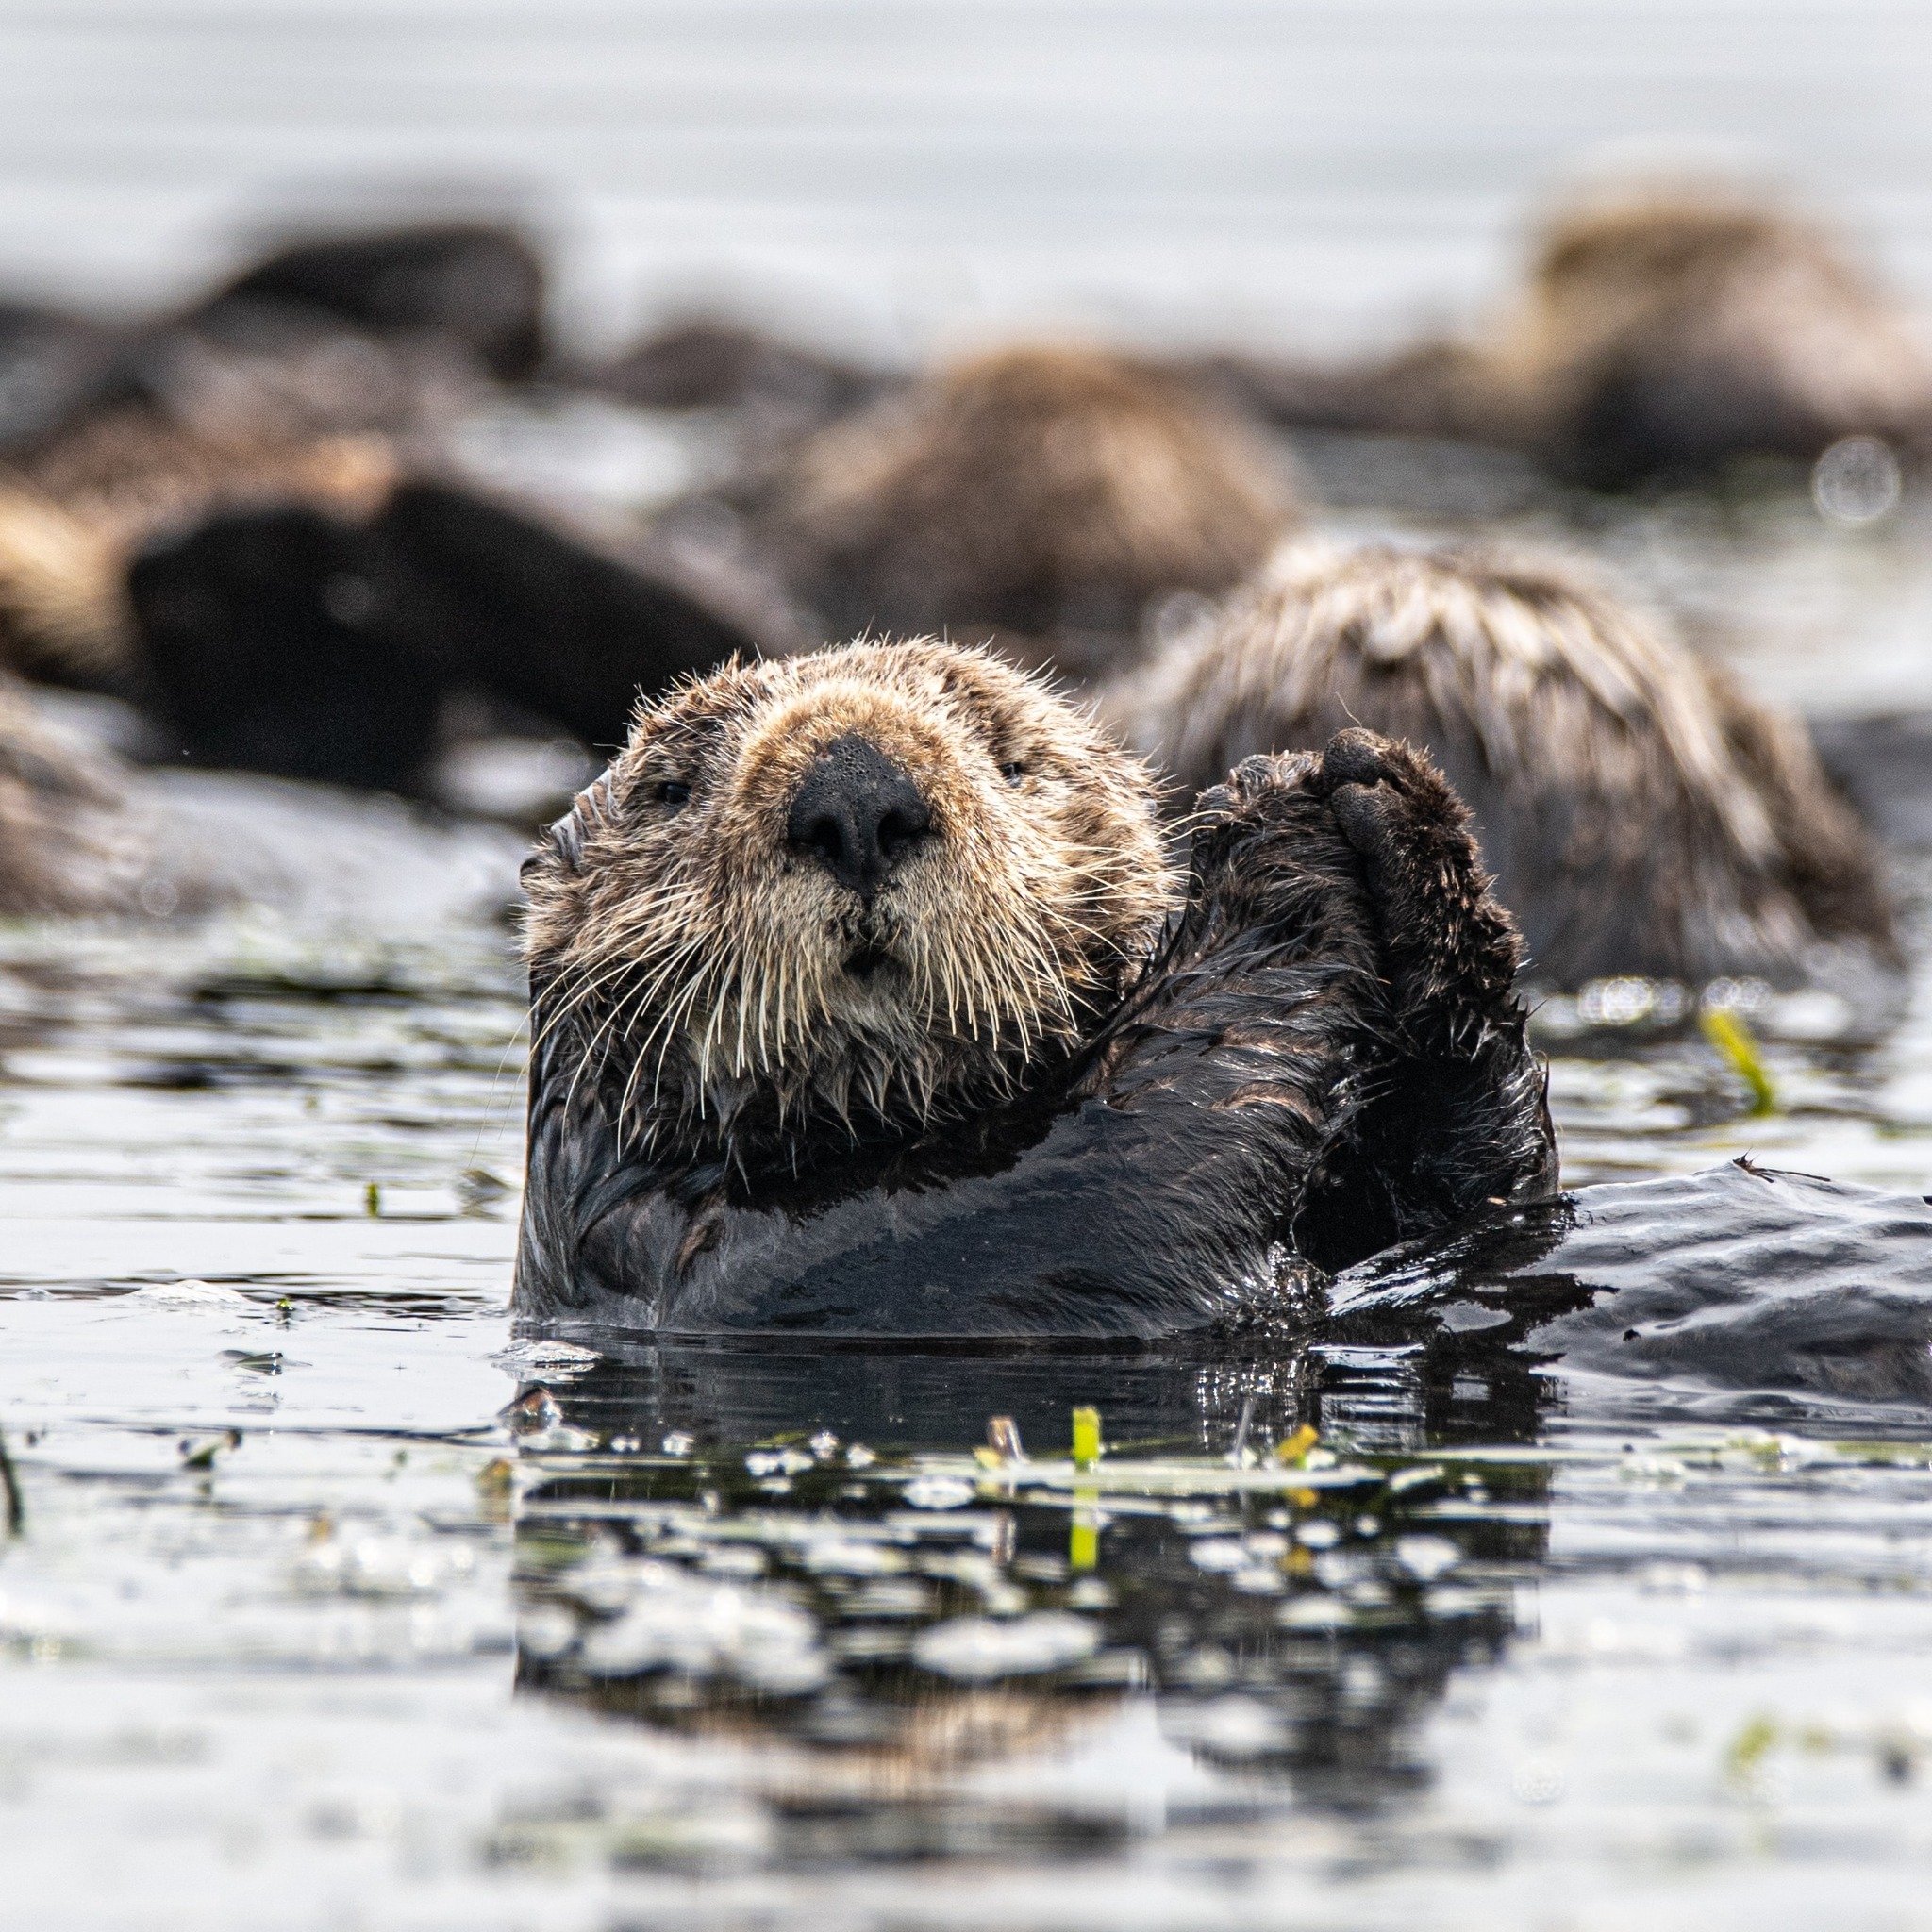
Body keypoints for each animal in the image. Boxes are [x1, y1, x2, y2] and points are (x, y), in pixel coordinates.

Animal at [514, 639, 1554, 1338]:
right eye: (670, 789)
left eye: (1012, 760)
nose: (854, 791)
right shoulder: (744, 1263)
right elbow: (1107, 1171)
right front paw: (1270, 827)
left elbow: (1494, 1207)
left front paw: (1396, 805)